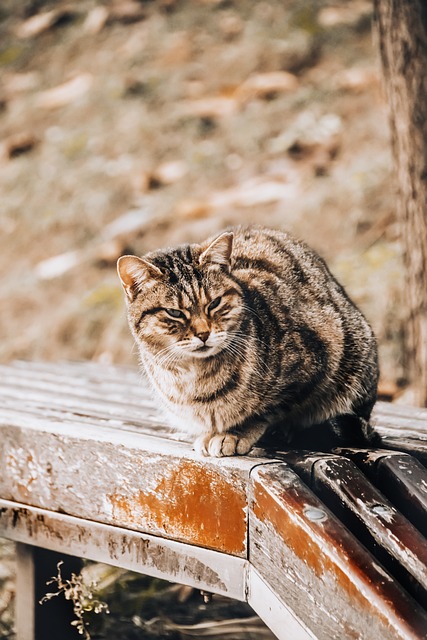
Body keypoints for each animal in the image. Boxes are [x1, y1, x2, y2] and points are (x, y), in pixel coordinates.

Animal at [116, 225, 378, 456]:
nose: (203, 334)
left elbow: (266, 410)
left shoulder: (314, 362)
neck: (193, 377)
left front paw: (234, 433)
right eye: (175, 313)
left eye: (214, 303)